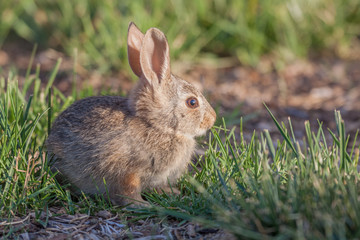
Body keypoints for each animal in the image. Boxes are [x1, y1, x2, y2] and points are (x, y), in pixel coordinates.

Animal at [47, 22, 217, 205]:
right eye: (192, 102)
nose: (213, 118)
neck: (156, 125)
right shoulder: (127, 172)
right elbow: (129, 190)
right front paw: (143, 205)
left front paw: (174, 194)